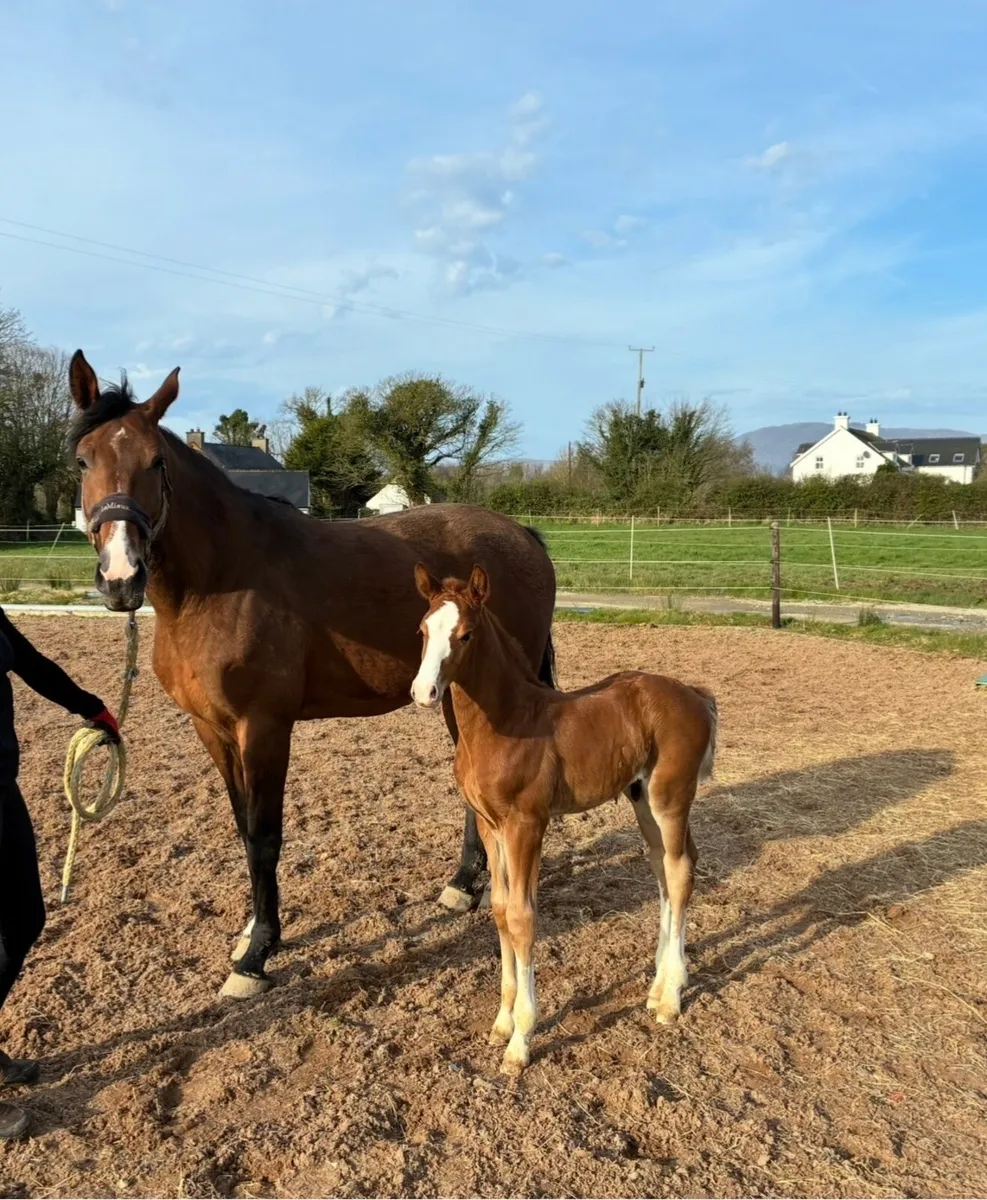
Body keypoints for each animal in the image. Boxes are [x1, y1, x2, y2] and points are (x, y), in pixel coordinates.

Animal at [67, 351, 557, 998]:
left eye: (156, 462)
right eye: (83, 460)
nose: (121, 578)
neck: (223, 579)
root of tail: (522, 535)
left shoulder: (264, 727)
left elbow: (265, 835)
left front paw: (256, 957)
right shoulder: (212, 730)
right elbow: (242, 828)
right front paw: (251, 932)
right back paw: (463, 885)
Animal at [411, 564, 717, 1073]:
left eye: (466, 634)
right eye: (422, 630)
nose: (423, 692)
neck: (507, 722)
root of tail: (694, 694)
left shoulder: (526, 825)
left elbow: (522, 916)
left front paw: (521, 1041)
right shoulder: (491, 828)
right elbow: (499, 909)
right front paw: (500, 1023)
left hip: (670, 798)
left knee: (679, 872)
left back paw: (671, 999)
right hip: (642, 799)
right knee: (664, 868)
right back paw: (658, 985)